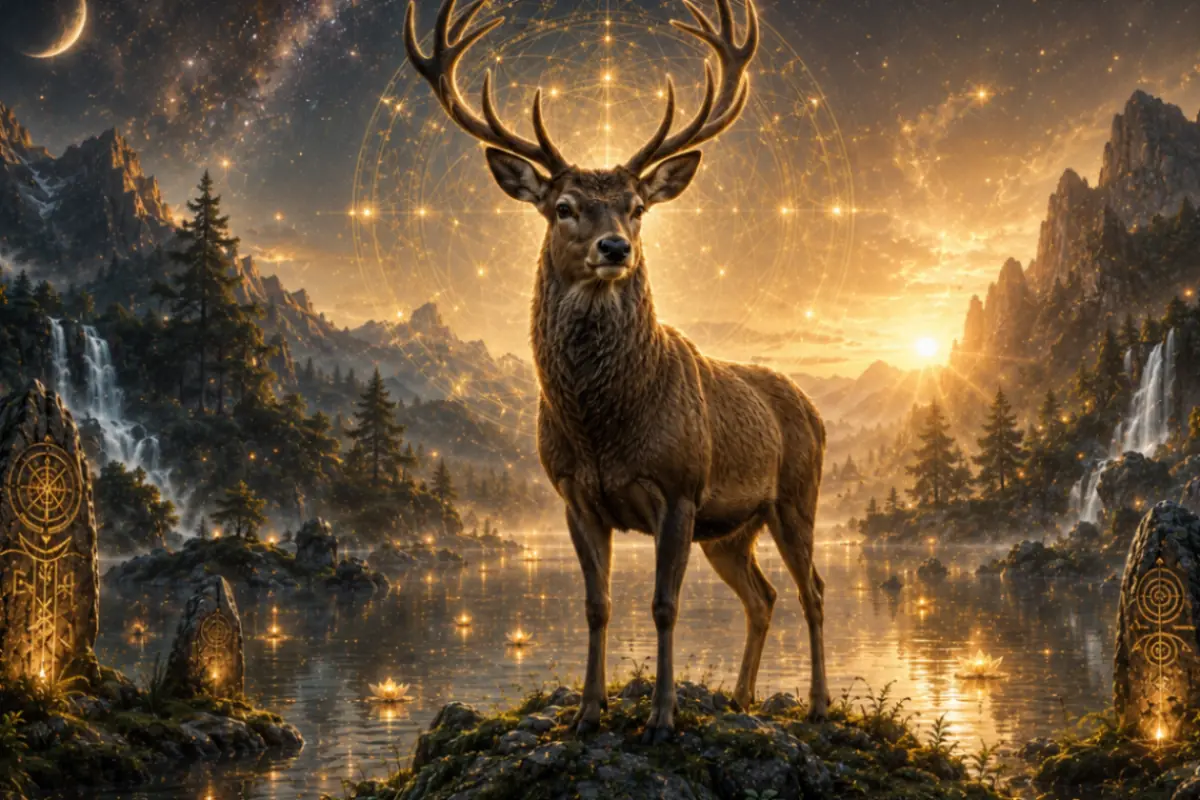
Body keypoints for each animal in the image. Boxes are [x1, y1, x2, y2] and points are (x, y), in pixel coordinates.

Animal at [405, 0, 828, 741]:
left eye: (637, 207)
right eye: (563, 206)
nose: (615, 247)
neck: (604, 426)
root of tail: (815, 410)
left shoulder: (681, 487)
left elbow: (663, 605)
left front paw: (661, 717)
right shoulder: (573, 493)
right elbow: (596, 604)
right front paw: (587, 711)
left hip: (796, 495)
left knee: (813, 591)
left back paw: (820, 703)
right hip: (733, 528)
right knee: (764, 595)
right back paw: (742, 696)